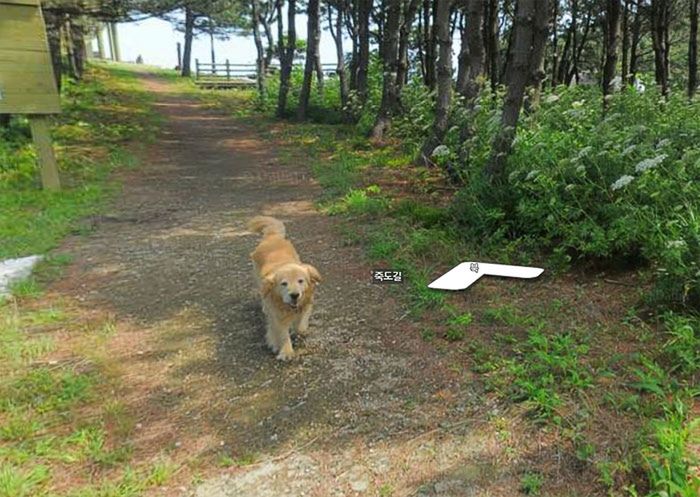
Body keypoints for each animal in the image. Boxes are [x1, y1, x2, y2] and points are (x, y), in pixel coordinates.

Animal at [247, 215, 322, 358]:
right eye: (284, 283)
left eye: (300, 281)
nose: (295, 295)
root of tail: (272, 236)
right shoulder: (277, 316)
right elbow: (282, 333)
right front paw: (286, 351)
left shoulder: (306, 304)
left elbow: (300, 326)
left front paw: (299, 330)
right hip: (258, 280)